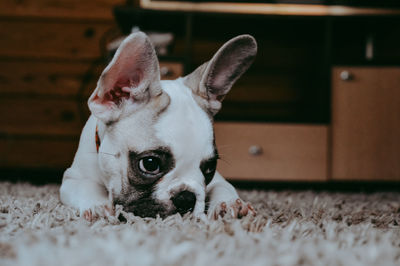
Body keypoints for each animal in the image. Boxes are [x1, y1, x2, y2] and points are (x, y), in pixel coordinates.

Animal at [61, 31, 258, 220]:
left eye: (210, 168)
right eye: (150, 164)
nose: (186, 198)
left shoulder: (218, 178)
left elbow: (223, 186)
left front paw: (230, 204)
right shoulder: (72, 178)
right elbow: (86, 187)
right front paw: (99, 206)